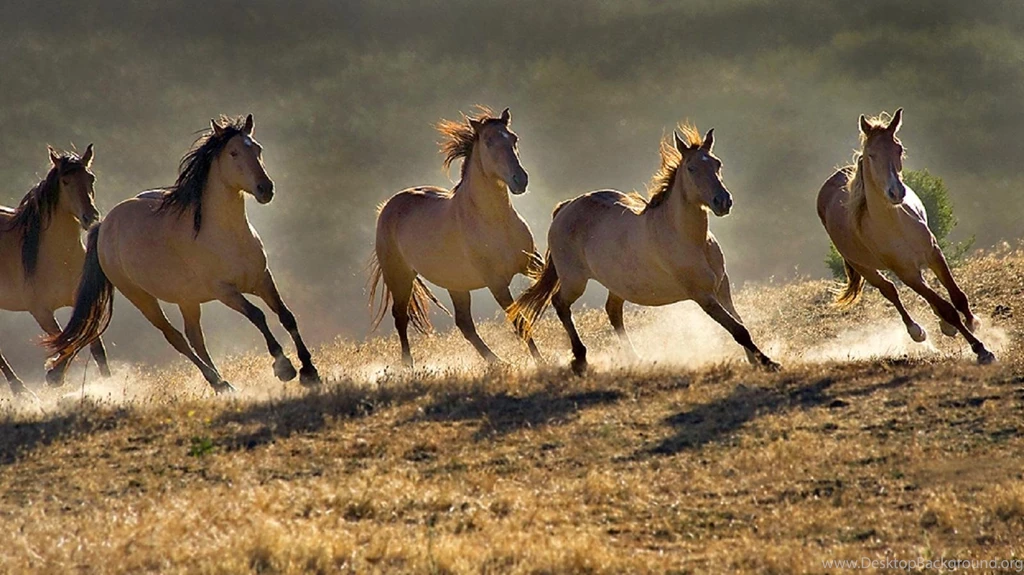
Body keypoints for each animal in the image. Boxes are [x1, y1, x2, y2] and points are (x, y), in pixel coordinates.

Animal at [0, 145, 109, 394]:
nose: (91, 217)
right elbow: (66, 342)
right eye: (65, 181)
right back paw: (20, 390)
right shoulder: (41, 312)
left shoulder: (82, 302)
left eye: (91, 178)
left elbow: (93, 347)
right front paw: (54, 376)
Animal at [46, 114, 320, 392]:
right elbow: (258, 315)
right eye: (233, 153)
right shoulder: (225, 291)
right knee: (176, 338)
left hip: (186, 298)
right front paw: (284, 367)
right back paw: (217, 382)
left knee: (195, 337)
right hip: (141, 297)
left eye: (257, 149)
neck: (226, 235)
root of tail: (104, 226)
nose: (266, 189)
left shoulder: (262, 278)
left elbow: (286, 316)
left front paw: (310, 372)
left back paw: (222, 384)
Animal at [369, 107, 544, 368]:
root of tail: (388, 206)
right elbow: (519, 321)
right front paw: (543, 362)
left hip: (456, 283)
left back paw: (499, 362)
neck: (495, 220)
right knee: (401, 317)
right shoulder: (496, 282)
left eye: (514, 139)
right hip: (399, 276)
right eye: (489, 141)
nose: (520, 180)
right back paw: (409, 366)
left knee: (464, 324)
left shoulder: (531, 263)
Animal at [510, 124, 780, 374]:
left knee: (613, 311)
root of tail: (565, 208)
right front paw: (769, 363)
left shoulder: (722, 287)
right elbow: (738, 329)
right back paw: (580, 359)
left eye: (717, 164)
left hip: (617, 283)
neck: (690, 239)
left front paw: (756, 361)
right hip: (575, 280)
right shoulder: (703, 295)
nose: (723, 202)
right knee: (561, 304)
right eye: (691, 168)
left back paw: (636, 359)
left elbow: (740, 323)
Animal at [816, 108, 995, 364]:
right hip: (864, 268)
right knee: (889, 290)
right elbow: (947, 309)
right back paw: (917, 331)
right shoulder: (906, 272)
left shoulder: (934, 253)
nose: (896, 192)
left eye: (898, 148)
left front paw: (974, 322)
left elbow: (957, 296)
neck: (896, 225)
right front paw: (981, 349)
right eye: (871, 154)